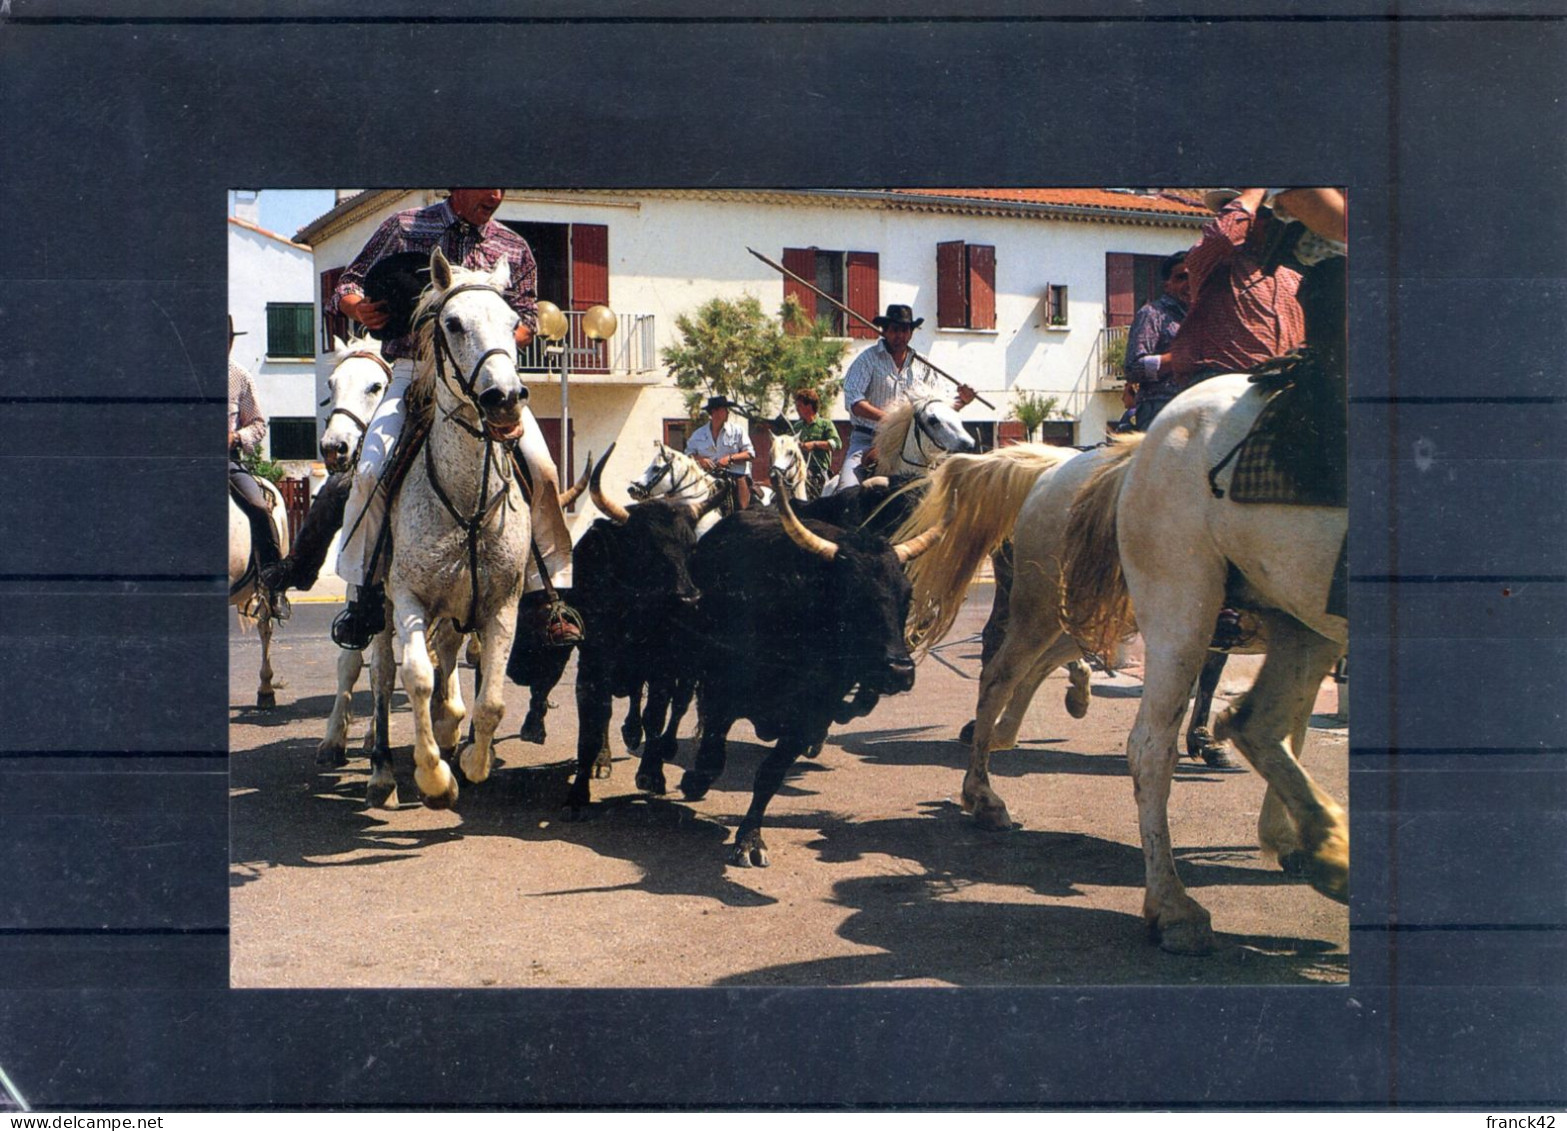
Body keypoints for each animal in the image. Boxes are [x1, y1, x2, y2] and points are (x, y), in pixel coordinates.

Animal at [385, 250, 532, 808]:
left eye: (514, 323)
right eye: (452, 323)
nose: (504, 397)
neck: (467, 501)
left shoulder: (503, 604)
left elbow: (491, 700)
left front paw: (474, 762)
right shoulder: (408, 596)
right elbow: (418, 678)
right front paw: (434, 778)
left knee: (449, 658)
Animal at [1065, 375, 1347, 952]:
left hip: (1299, 612)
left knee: (1262, 723)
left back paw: (1321, 849)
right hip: (1182, 607)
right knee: (1151, 749)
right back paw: (1175, 908)